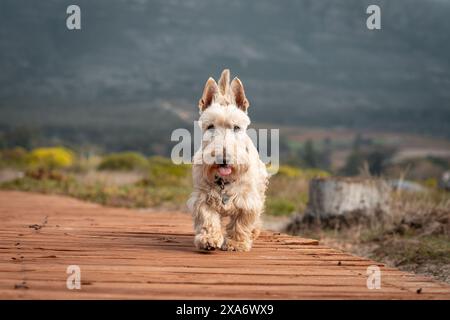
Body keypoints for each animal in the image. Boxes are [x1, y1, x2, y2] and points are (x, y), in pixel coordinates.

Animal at [186, 69, 268, 251]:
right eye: (210, 126)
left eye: (236, 127)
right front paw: (209, 239)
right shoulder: (203, 198)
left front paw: (236, 243)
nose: (223, 158)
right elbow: (208, 219)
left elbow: (241, 223)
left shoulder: (247, 200)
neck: (224, 182)